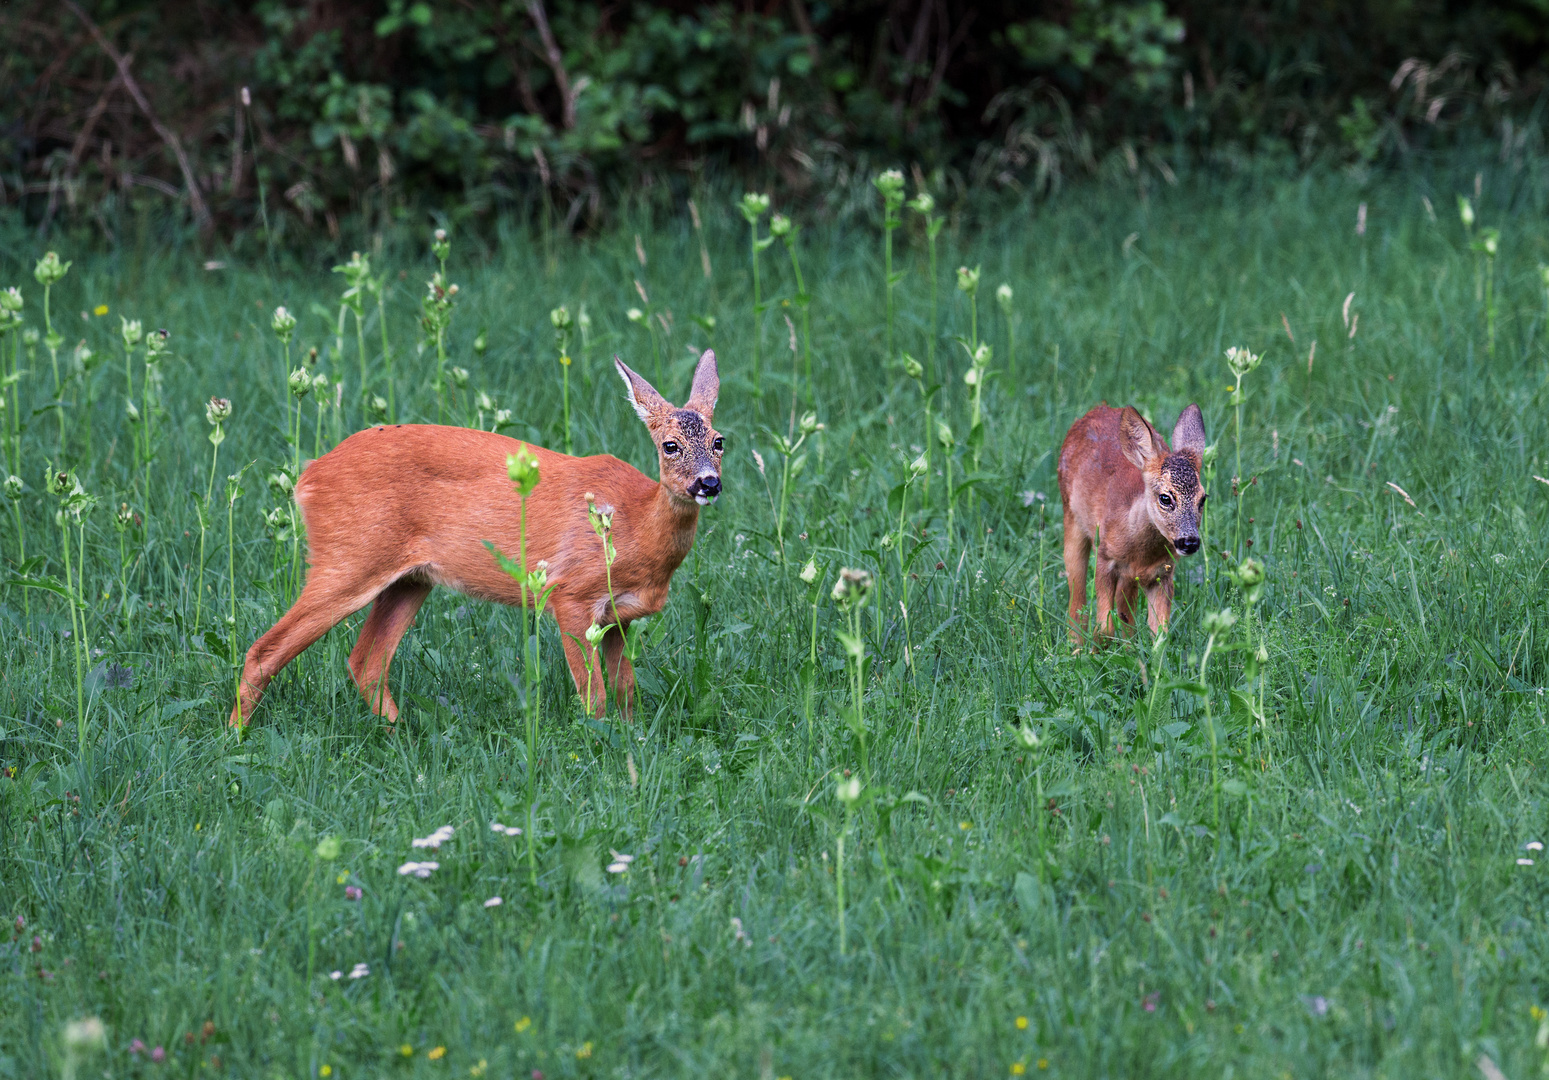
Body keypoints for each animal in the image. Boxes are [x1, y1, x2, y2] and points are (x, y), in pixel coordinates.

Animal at [229, 350, 724, 728]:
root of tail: (308, 476)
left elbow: (627, 695)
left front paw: (629, 744)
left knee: (366, 661)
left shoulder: (620, 617)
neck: (635, 524)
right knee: (265, 650)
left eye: (720, 441)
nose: (708, 483)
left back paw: (402, 736)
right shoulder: (569, 591)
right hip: (348, 556)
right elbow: (594, 696)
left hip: (410, 578)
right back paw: (237, 737)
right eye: (671, 445)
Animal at [1053, 402, 1208, 641]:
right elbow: (1105, 626)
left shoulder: (1163, 572)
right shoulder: (1105, 558)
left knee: (1126, 610)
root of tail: (1098, 408)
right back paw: (1076, 644)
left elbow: (1160, 634)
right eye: (1165, 498)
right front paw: (1098, 645)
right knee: (1077, 597)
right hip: (1071, 517)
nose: (1189, 542)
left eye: (1203, 498)